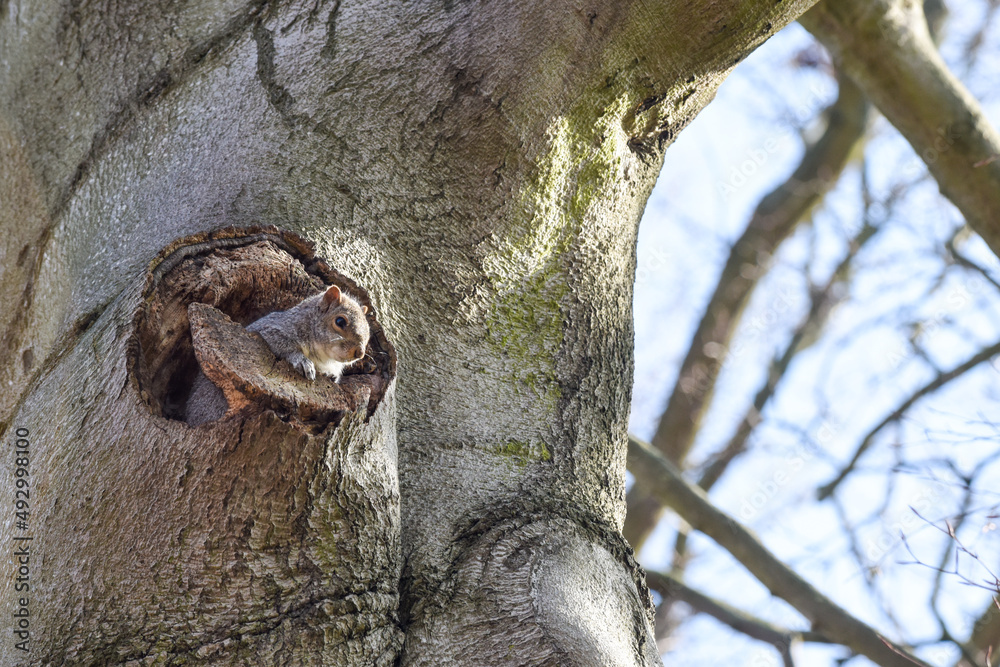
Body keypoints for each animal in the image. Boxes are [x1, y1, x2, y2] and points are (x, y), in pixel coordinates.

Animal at [185, 284, 370, 425]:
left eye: (368, 330)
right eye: (340, 321)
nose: (359, 353)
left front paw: (331, 375)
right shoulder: (269, 331)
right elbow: (284, 346)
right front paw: (303, 362)